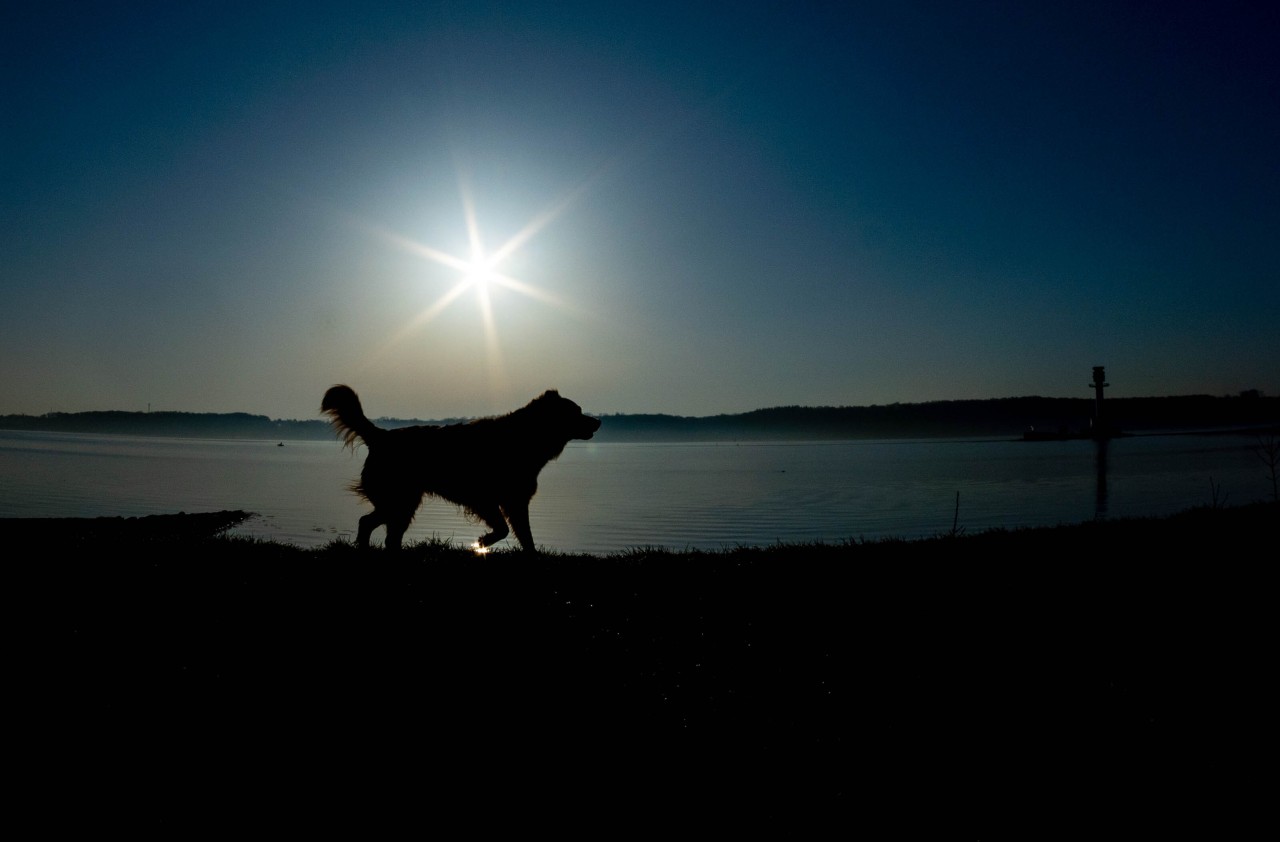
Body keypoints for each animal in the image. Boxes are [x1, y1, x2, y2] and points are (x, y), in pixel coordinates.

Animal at [320, 381, 599, 550]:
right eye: (577, 411)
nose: (597, 422)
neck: (527, 439)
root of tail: (381, 436)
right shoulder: (485, 498)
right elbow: (502, 529)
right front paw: (483, 542)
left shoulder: (516, 501)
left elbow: (525, 536)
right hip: (399, 498)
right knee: (369, 523)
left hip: (402, 501)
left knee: (383, 530)